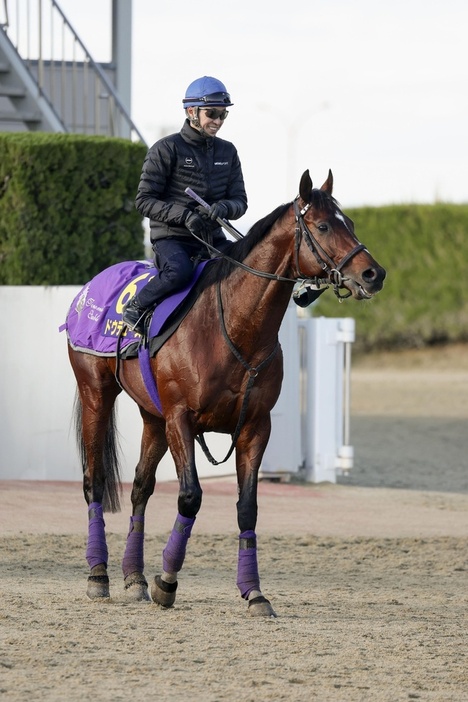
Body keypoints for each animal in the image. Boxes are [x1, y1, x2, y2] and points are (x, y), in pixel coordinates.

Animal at [66, 169, 388, 616]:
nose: (374, 274)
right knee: (93, 482)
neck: (233, 327)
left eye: (351, 223)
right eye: (324, 225)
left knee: (140, 488)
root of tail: (87, 291)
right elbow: (190, 497)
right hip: (97, 394)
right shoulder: (181, 418)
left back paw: (135, 578)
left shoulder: (254, 427)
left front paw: (254, 592)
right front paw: (167, 582)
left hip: (153, 417)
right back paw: (99, 575)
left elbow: (247, 508)